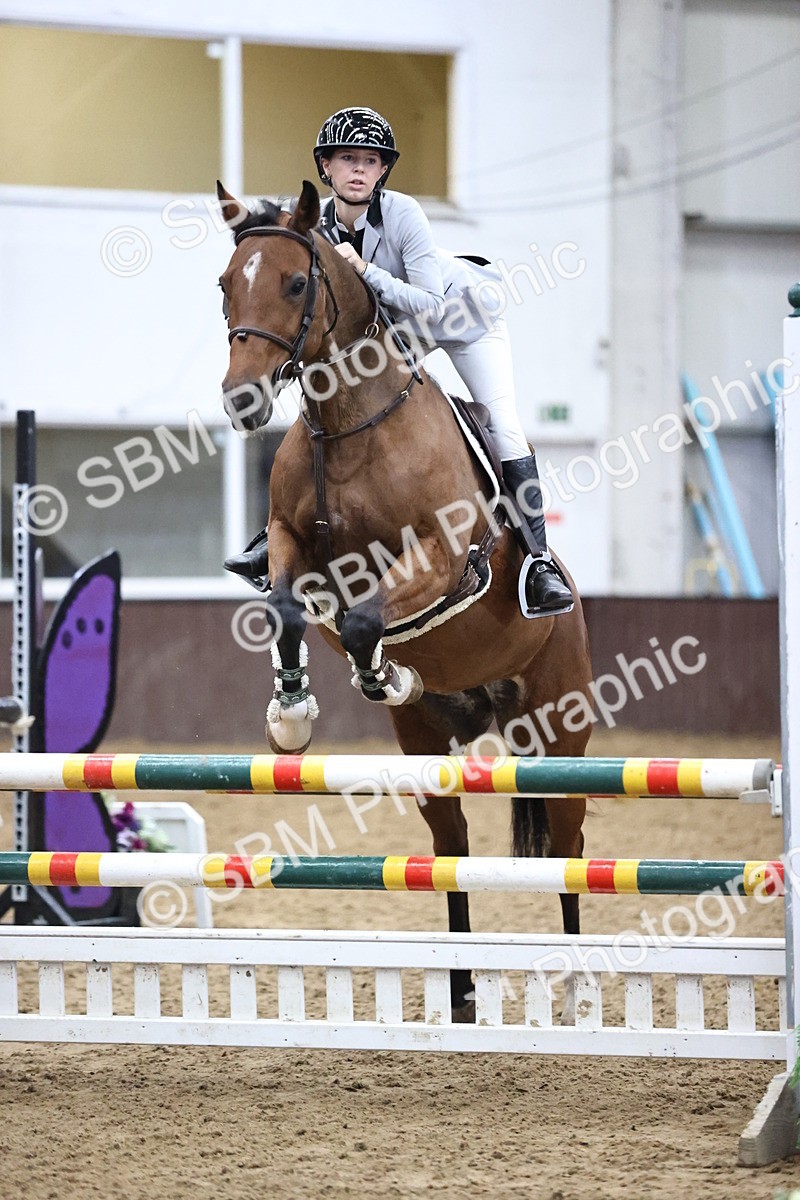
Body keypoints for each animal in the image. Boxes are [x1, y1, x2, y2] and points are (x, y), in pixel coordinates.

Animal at [216, 179, 594, 1021]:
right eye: (225, 284)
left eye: (297, 283)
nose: (242, 401)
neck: (348, 422)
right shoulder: (290, 541)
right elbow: (291, 609)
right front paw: (293, 714)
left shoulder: (447, 562)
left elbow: (365, 617)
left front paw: (385, 669)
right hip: (428, 744)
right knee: (451, 849)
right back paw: (460, 991)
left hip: (561, 728)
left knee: (570, 847)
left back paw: (580, 989)